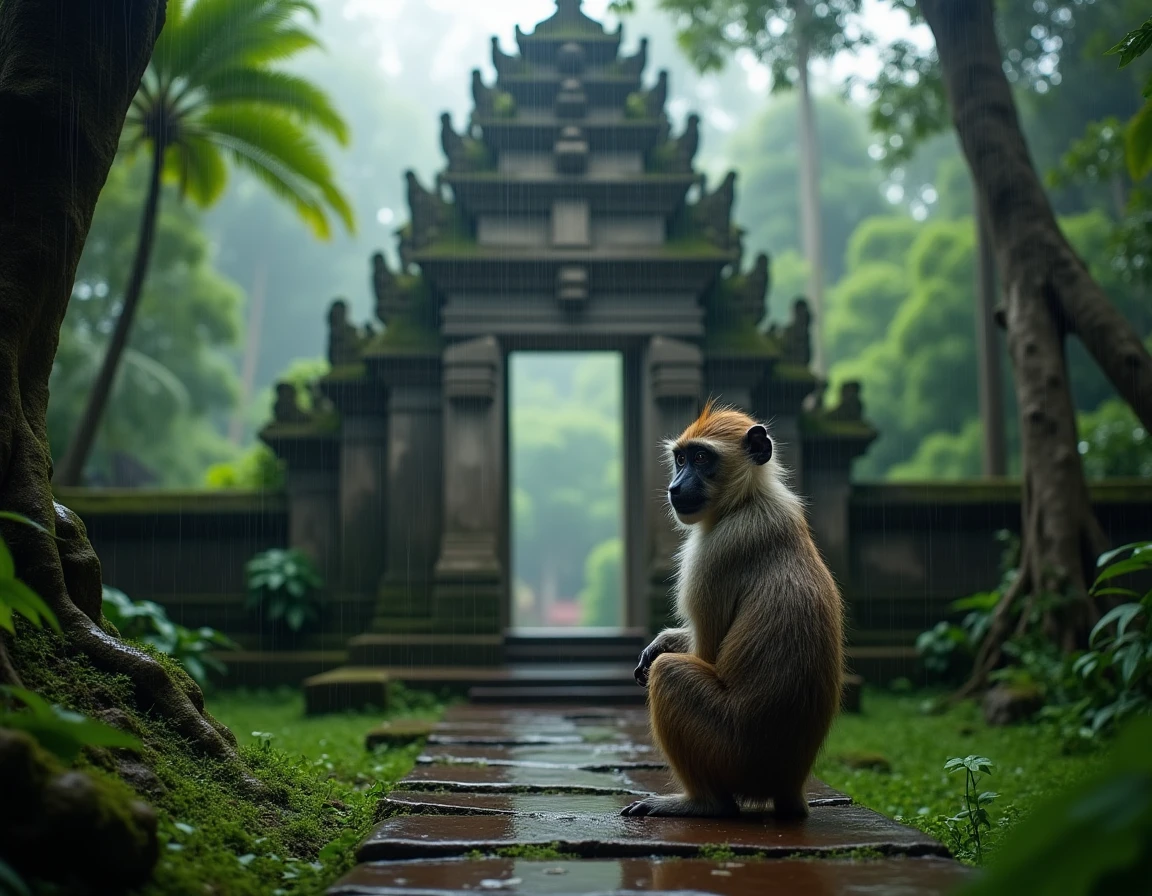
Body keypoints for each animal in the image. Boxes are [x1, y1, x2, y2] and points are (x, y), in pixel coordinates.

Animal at [622, 401, 844, 821]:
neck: (748, 500)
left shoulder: (717, 550)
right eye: (680, 459)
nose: (676, 486)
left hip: (731, 753)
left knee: (670, 674)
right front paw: (662, 641)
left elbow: (706, 653)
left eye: (701, 458)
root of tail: (789, 785)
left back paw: (704, 803)